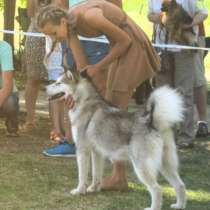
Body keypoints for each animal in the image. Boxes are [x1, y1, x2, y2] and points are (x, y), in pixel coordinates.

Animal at [46, 70, 187, 210]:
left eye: (58, 83)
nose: (45, 87)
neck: (84, 101)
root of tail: (152, 122)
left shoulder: (82, 151)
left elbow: (82, 176)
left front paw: (79, 191)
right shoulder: (97, 153)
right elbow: (96, 174)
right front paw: (93, 188)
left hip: (142, 167)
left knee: (157, 189)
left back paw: (153, 207)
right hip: (165, 165)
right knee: (180, 185)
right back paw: (179, 205)